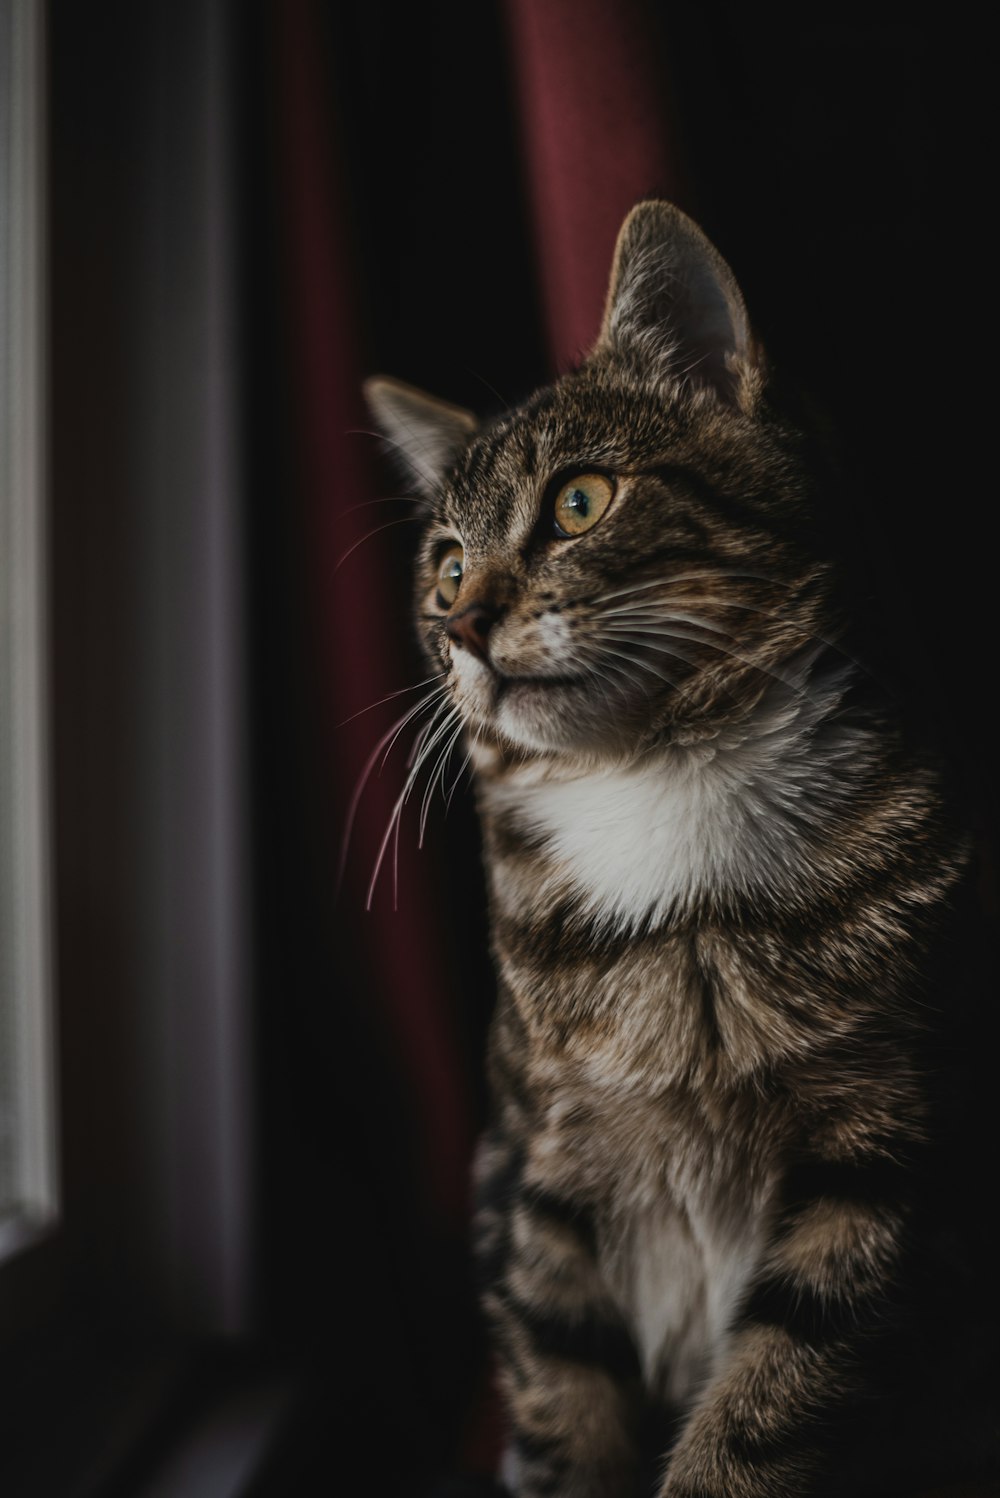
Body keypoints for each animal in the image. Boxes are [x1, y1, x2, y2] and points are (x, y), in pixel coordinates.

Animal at [363, 202, 994, 1498]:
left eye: (578, 502)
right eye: (444, 564)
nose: (462, 624)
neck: (664, 782)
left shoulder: (876, 1166)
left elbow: (764, 1408)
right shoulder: (538, 1179)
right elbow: (562, 1402)